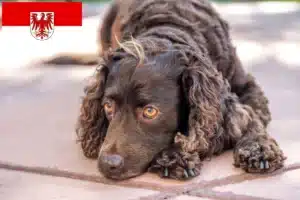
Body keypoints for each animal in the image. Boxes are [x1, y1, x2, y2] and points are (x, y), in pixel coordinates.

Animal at [47, 0, 286, 180]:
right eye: (108, 106)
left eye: (150, 111)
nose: (107, 164)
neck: (169, 28)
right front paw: (175, 156)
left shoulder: (248, 89)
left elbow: (252, 118)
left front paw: (259, 148)